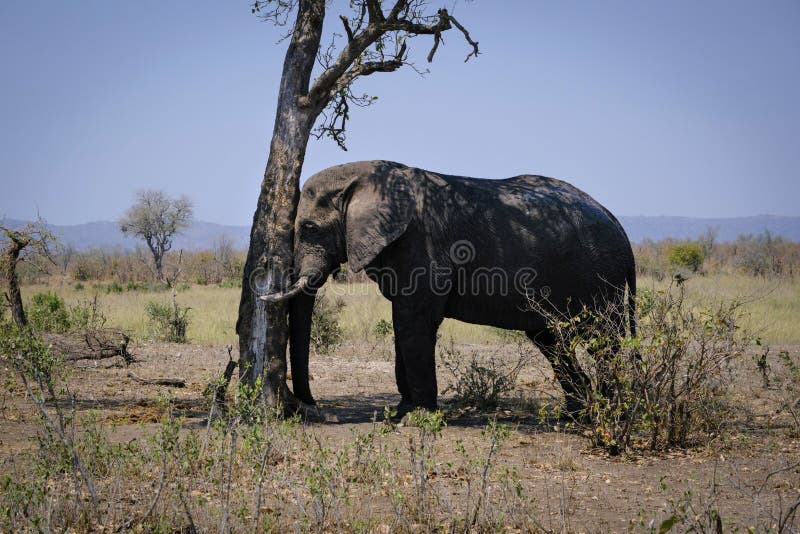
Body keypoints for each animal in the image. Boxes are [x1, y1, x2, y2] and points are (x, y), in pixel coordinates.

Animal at [262, 160, 636, 418]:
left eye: (309, 228)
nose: (314, 408)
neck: (368, 173)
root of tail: (616, 220)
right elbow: (404, 324)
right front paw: (401, 412)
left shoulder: (421, 245)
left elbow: (412, 321)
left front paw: (415, 418)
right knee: (550, 340)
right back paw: (577, 414)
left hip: (600, 277)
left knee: (603, 339)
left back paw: (612, 411)